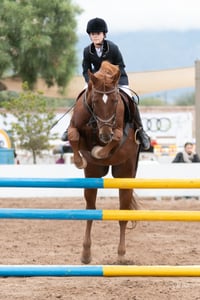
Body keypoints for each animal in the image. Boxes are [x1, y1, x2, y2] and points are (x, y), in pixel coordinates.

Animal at [68, 61, 140, 264]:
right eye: (95, 102)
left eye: (115, 101)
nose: (104, 134)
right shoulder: (76, 128)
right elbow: (73, 135)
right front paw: (79, 161)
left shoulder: (118, 132)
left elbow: (115, 138)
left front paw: (99, 151)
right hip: (93, 176)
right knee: (90, 210)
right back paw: (86, 253)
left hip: (125, 174)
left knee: (123, 214)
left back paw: (121, 255)